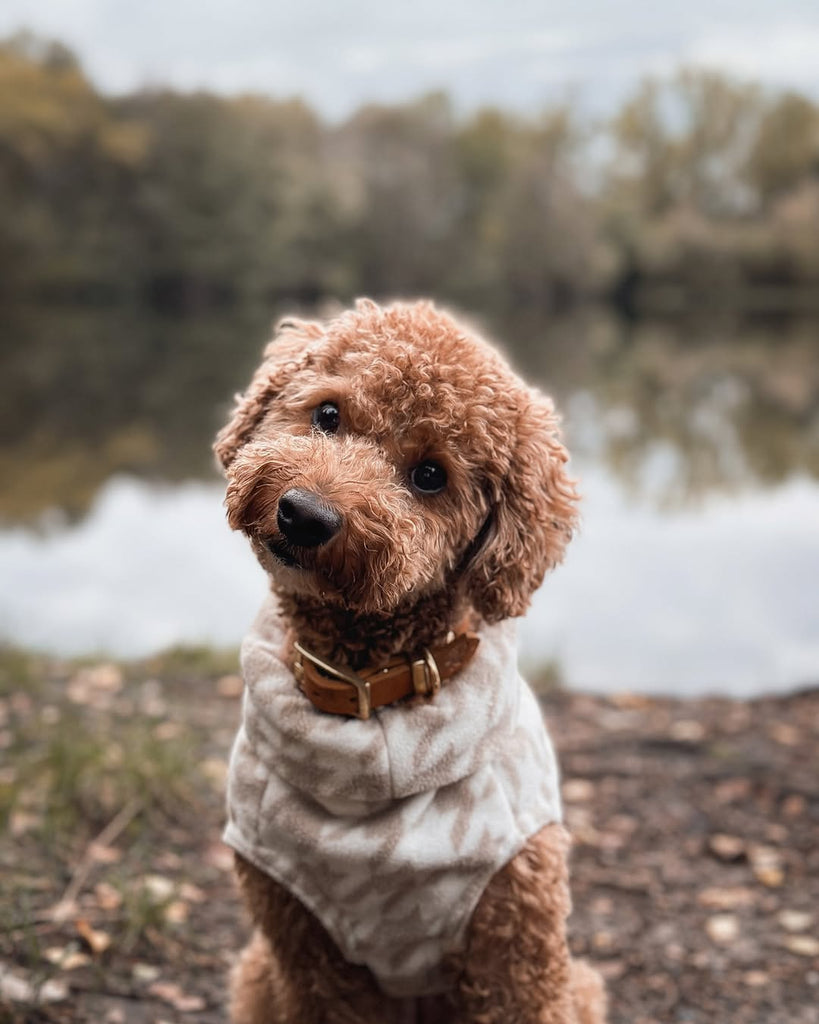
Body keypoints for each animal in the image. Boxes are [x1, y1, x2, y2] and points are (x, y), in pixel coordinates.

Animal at [213, 299, 606, 1024]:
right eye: (328, 414)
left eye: (430, 476)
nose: (304, 514)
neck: (372, 691)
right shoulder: (303, 949)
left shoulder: (518, 946)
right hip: (257, 977)